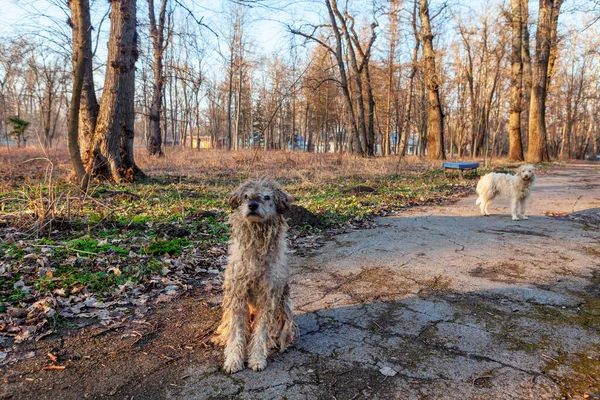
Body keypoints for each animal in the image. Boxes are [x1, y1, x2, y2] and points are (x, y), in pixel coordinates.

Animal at [213, 178, 298, 372]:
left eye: (267, 197)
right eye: (245, 196)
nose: (252, 205)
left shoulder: (268, 296)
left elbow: (261, 332)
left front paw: (257, 358)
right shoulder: (237, 294)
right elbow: (236, 331)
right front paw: (233, 359)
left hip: (284, 305)